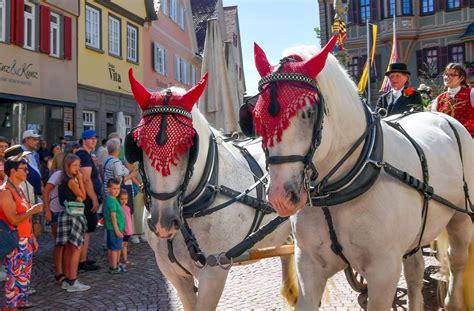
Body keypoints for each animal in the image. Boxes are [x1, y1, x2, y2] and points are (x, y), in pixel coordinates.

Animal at [250, 37, 472, 310]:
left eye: (309, 112)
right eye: (256, 115)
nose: (281, 196)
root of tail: (441, 116)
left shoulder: (384, 271)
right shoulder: (308, 266)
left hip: (461, 217)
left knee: (457, 259)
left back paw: (453, 301)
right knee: (415, 270)